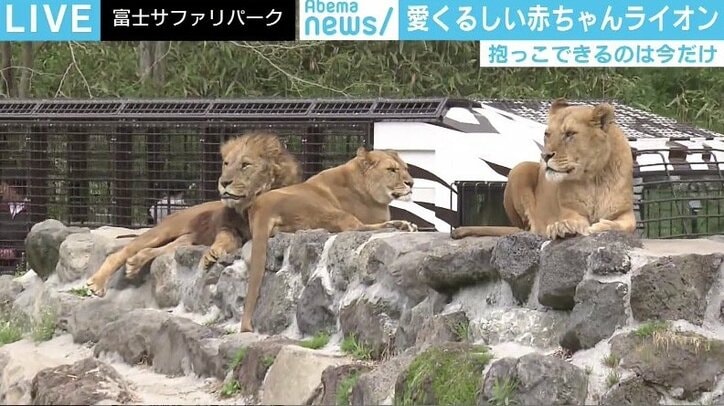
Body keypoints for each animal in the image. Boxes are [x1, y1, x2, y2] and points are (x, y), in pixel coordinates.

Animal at [85, 132, 302, 296]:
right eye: (226, 163)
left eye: (245, 165)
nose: (223, 182)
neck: (246, 206)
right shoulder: (226, 226)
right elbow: (225, 238)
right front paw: (213, 253)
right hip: (164, 230)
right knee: (121, 253)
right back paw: (97, 283)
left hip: (186, 240)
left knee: (152, 251)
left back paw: (134, 264)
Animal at [239, 147, 418, 332]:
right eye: (391, 170)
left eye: (406, 168)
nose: (411, 183)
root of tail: (261, 206)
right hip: (328, 209)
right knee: (355, 227)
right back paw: (402, 225)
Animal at [450, 98, 636, 241]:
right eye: (547, 134)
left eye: (569, 134)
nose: (545, 156)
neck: (593, 178)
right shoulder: (570, 210)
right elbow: (574, 220)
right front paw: (564, 226)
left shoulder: (626, 212)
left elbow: (627, 226)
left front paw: (602, 226)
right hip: (520, 169)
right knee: (532, 228)